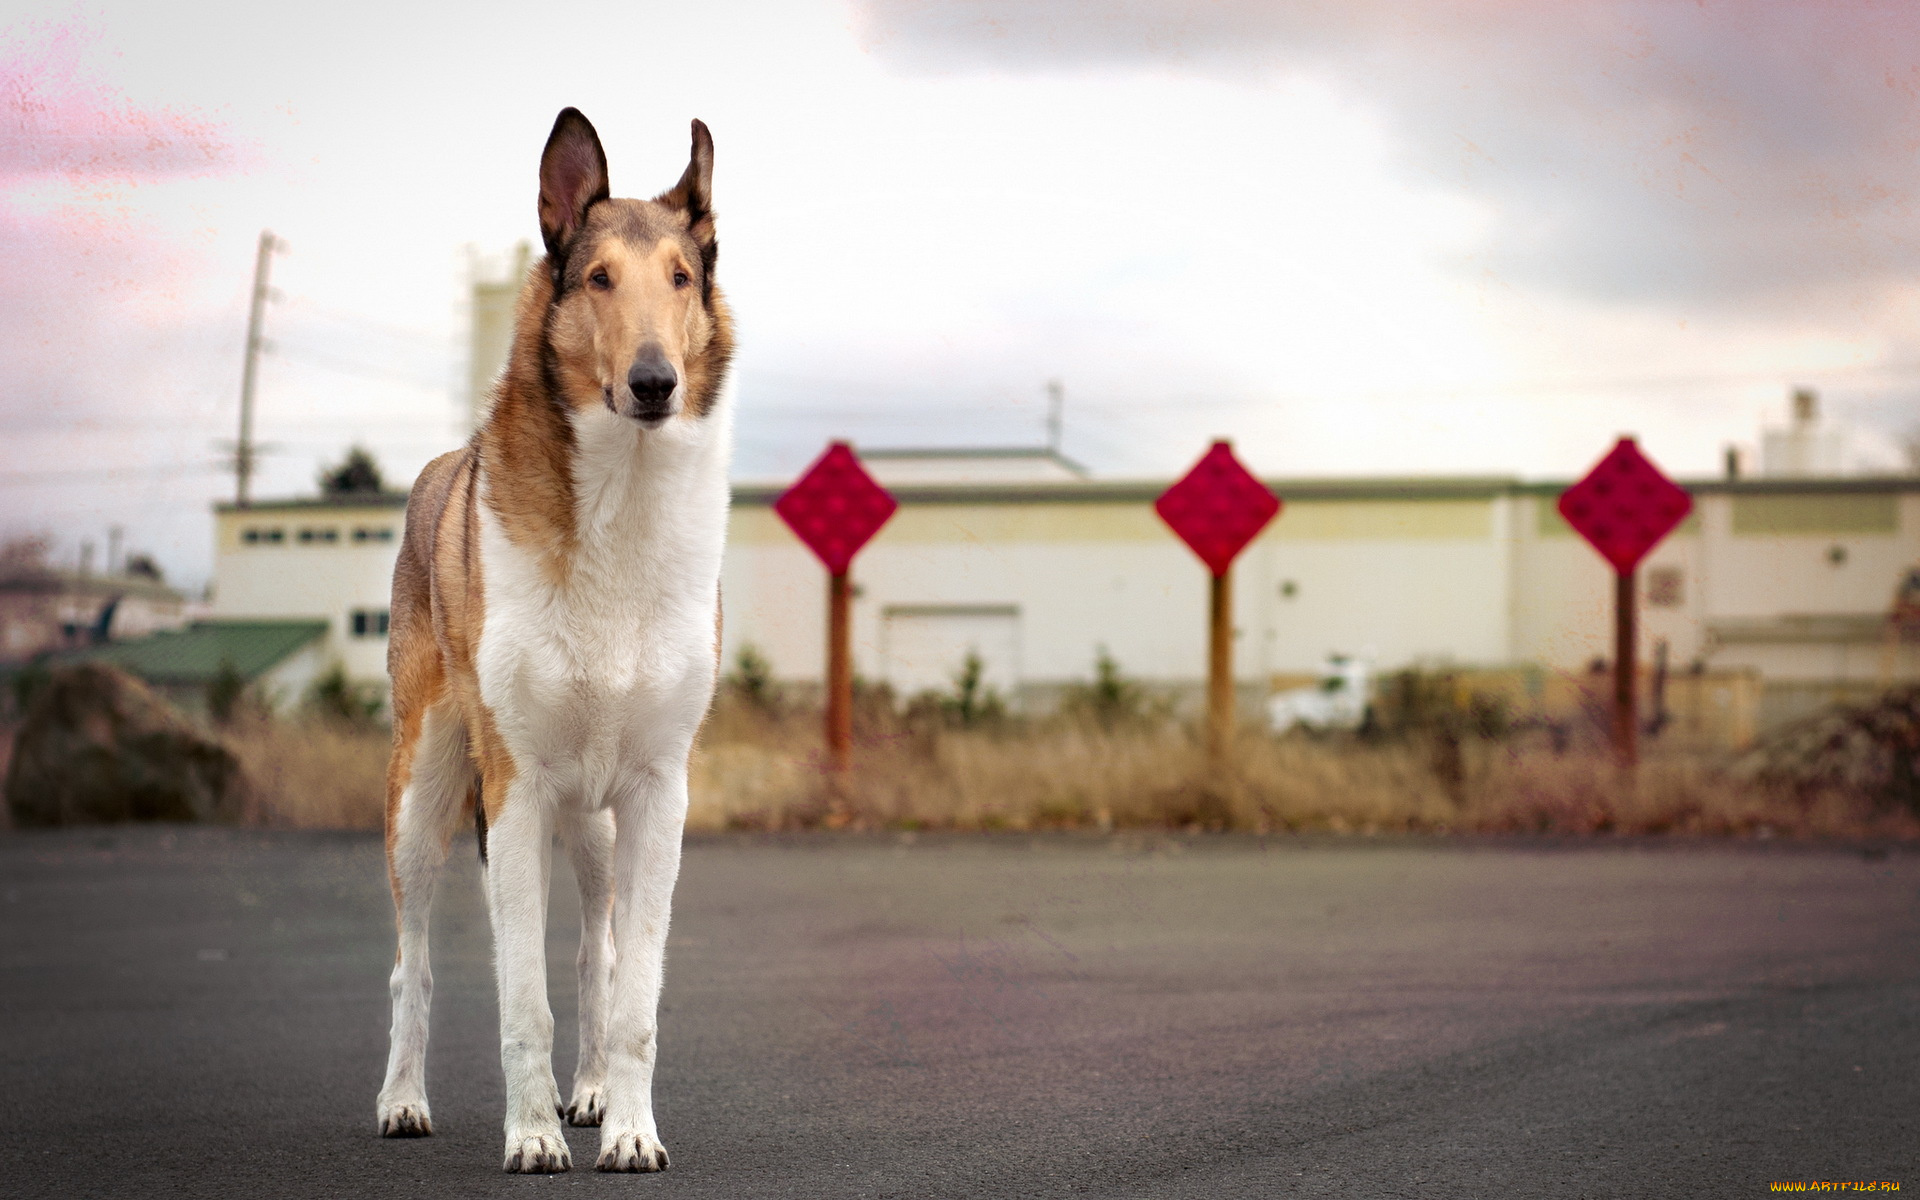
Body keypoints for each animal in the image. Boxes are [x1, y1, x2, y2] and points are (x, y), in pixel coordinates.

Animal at [374, 105, 733, 1167]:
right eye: (598, 278)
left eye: (681, 279)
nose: (654, 383)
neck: (620, 506)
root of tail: (442, 466)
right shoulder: (518, 789)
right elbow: (518, 998)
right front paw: (532, 1137)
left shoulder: (658, 794)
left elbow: (634, 993)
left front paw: (629, 1131)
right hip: (425, 800)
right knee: (413, 964)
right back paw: (402, 1102)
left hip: (597, 829)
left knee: (592, 953)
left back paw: (592, 1091)